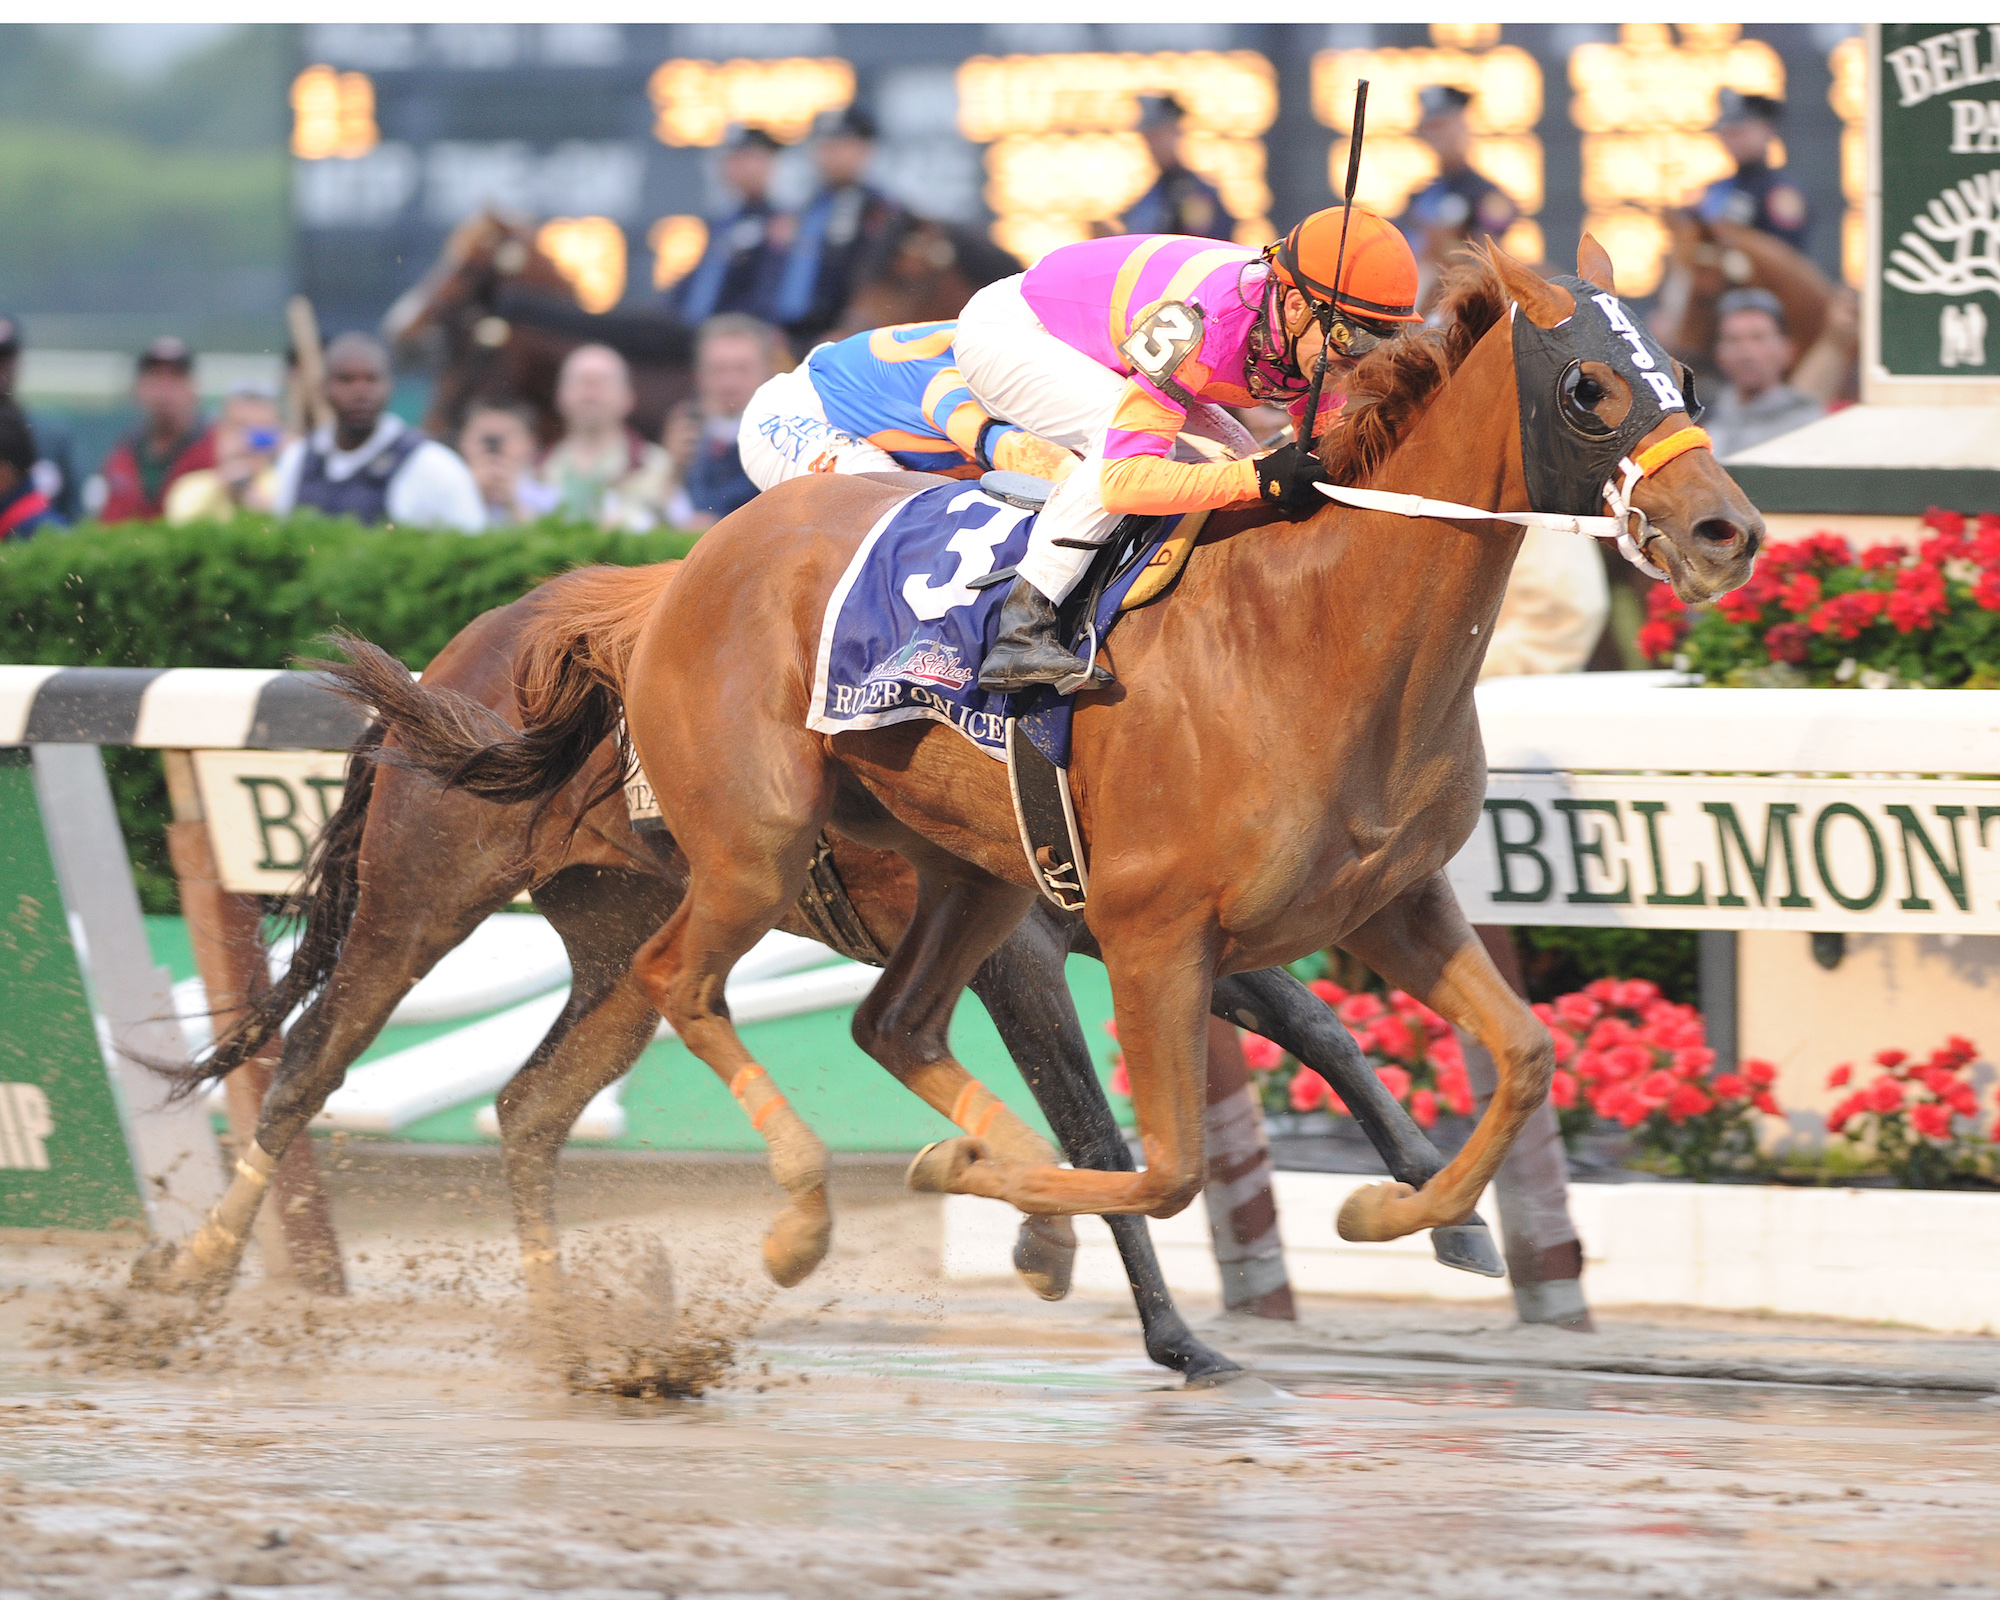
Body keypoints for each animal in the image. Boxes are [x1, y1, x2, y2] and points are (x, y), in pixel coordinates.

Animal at [352, 238, 1760, 1272]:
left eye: (1685, 374)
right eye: (1587, 388)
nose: (1724, 532)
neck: (1313, 632)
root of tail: (678, 570)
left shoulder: (1387, 903)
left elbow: (1521, 1056)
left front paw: (1390, 1209)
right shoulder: (1151, 931)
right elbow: (1166, 1166)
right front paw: (978, 1185)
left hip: (969, 876)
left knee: (881, 1021)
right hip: (741, 848)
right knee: (671, 982)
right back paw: (803, 1211)